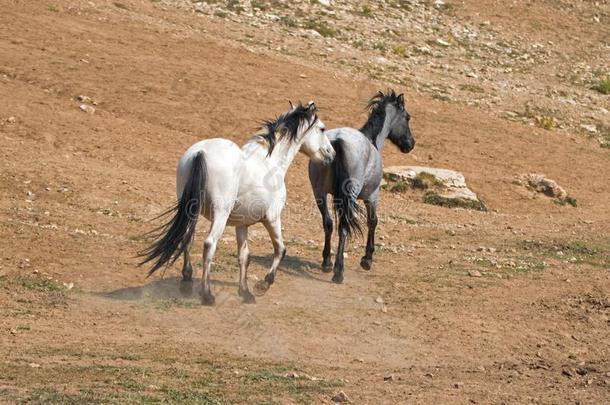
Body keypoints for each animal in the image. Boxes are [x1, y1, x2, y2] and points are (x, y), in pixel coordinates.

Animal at [139, 101, 332, 304]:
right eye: (322, 129)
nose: (331, 154)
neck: (270, 162)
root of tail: (201, 152)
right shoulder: (272, 218)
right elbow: (281, 249)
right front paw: (263, 285)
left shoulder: (242, 224)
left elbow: (244, 256)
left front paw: (245, 292)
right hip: (220, 215)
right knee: (209, 245)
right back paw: (207, 295)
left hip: (191, 212)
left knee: (186, 239)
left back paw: (186, 281)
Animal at [308, 90, 414, 282]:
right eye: (407, 117)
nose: (410, 144)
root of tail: (337, 140)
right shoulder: (372, 196)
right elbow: (373, 221)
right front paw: (367, 259)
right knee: (343, 227)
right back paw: (338, 272)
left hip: (319, 194)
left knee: (328, 223)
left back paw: (327, 263)